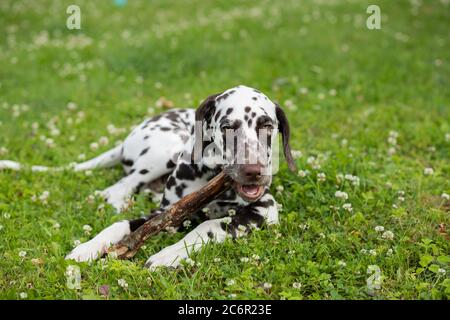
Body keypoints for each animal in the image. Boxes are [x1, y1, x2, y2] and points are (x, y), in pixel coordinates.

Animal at [0, 85, 298, 270]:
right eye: (227, 127)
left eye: (267, 125)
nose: (253, 171)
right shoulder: (168, 213)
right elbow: (120, 225)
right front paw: (88, 246)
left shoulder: (265, 209)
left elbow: (210, 225)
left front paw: (170, 254)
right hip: (161, 153)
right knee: (120, 186)